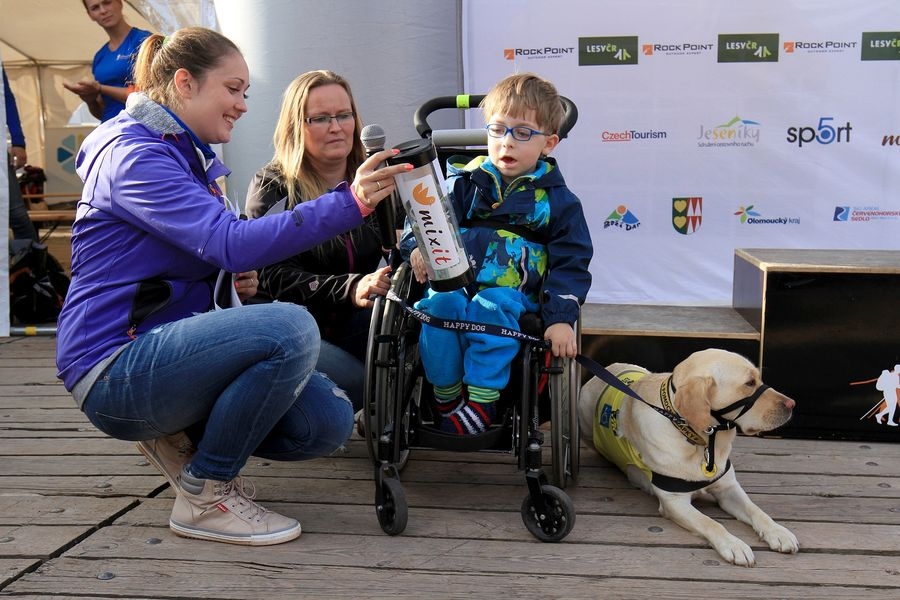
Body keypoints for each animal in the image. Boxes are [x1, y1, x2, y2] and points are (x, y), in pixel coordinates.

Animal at [580, 350, 800, 564]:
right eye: (749, 383)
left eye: (758, 379)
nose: (792, 404)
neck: (700, 441)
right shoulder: (674, 501)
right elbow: (711, 523)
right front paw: (734, 545)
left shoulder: (728, 488)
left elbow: (756, 510)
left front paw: (778, 532)